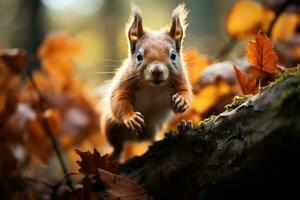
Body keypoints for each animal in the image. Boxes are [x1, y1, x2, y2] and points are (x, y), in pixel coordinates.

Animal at [102, 4, 193, 159]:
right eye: (139, 56)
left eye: (173, 55)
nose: (157, 71)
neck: (153, 87)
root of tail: (135, 139)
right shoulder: (125, 82)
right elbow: (118, 100)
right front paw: (131, 117)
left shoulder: (180, 78)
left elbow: (186, 91)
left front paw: (182, 101)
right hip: (111, 128)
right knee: (118, 146)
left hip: (153, 129)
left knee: (153, 139)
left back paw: (184, 127)